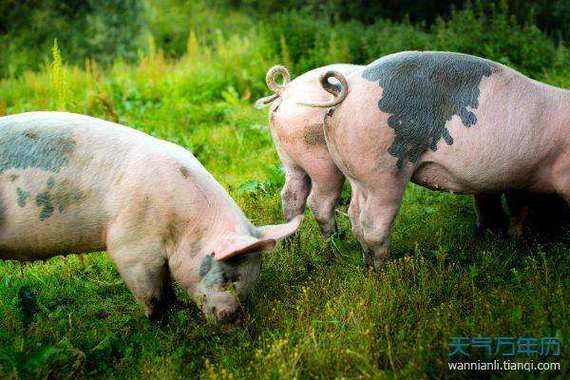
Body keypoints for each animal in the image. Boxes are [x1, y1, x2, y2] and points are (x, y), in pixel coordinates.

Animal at [0, 112, 302, 324]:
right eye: (227, 276)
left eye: (253, 277)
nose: (234, 321)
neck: (184, 222)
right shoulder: (130, 246)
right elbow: (152, 294)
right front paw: (160, 323)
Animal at [304, 52, 568, 268]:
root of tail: (346, 90)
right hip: (385, 171)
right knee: (372, 225)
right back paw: (385, 269)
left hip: (357, 172)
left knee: (355, 215)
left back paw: (366, 264)